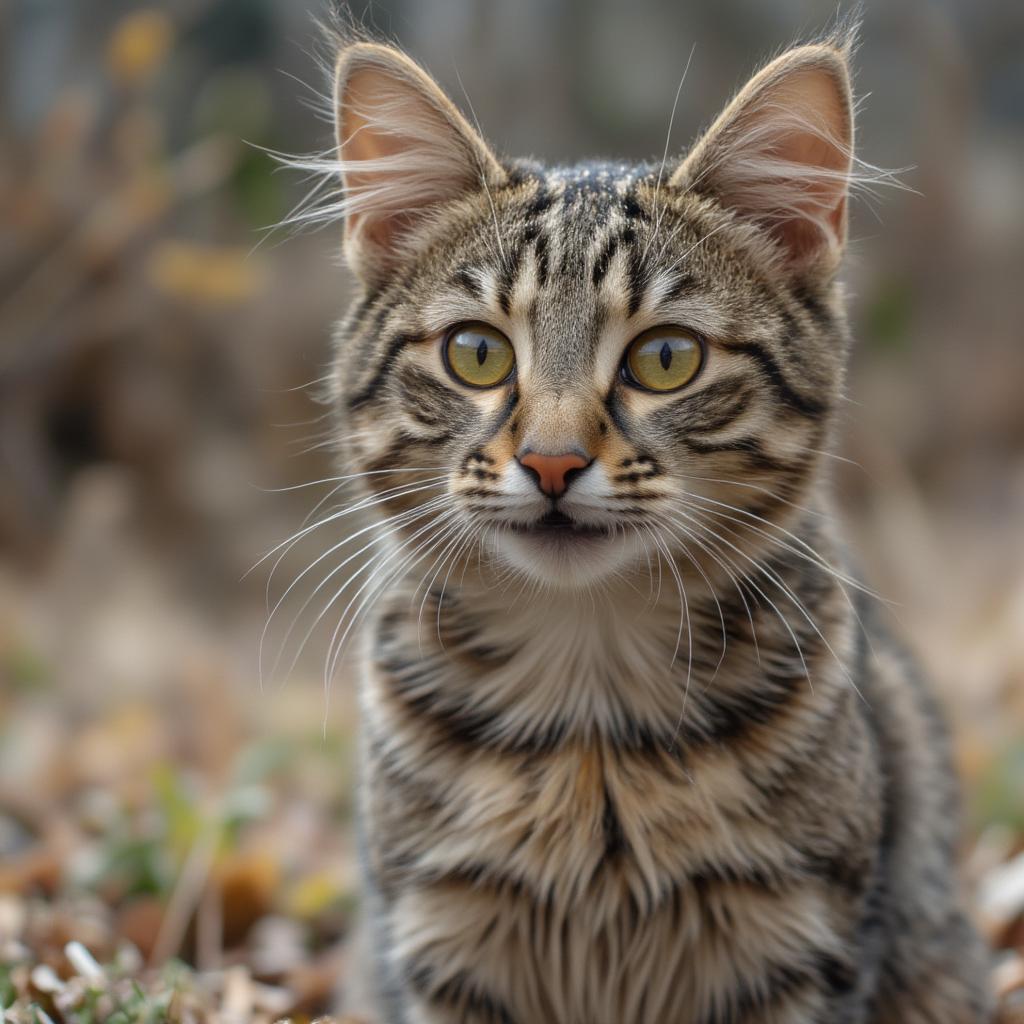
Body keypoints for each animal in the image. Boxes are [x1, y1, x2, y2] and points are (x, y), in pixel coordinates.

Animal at [307, 22, 995, 1024]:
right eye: (476, 354)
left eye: (667, 359)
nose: (552, 461)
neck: (589, 717)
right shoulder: (438, 942)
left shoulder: (803, 943)